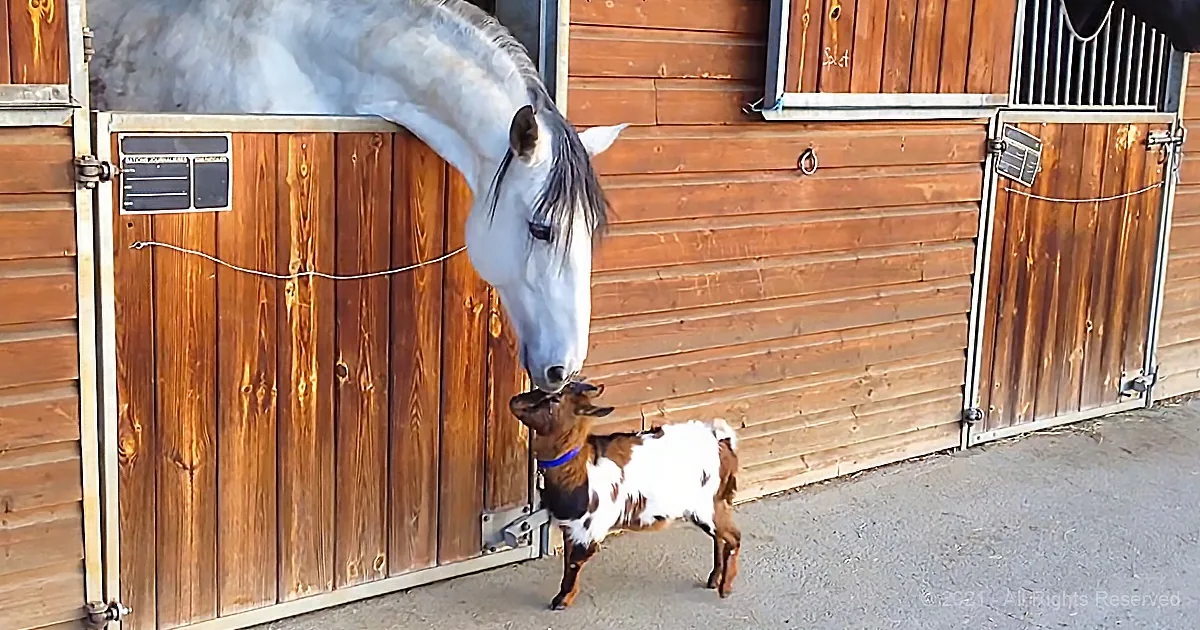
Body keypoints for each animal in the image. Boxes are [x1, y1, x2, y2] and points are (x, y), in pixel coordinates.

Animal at [509, 381, 741, 610]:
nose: (514, 400)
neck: (579, 468)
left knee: (733, 537)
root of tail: (722, 440)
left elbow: (574, 562)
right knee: (720, 539)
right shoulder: (572, 527)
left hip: (708, 505)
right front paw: (565, 595)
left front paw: (562, 600)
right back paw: (714, 580)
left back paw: (725, 587)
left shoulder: (590, 528)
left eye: (556, 398)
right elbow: (568, 561)